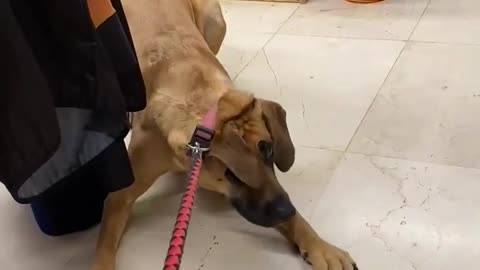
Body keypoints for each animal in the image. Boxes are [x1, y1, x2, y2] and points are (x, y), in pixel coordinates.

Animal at [92, 0, 358, 270]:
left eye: (269, 151)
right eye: (231, 174)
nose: (287, 211)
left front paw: (320, 246)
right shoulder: (119, 196)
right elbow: (104, 245)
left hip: (215, 20)